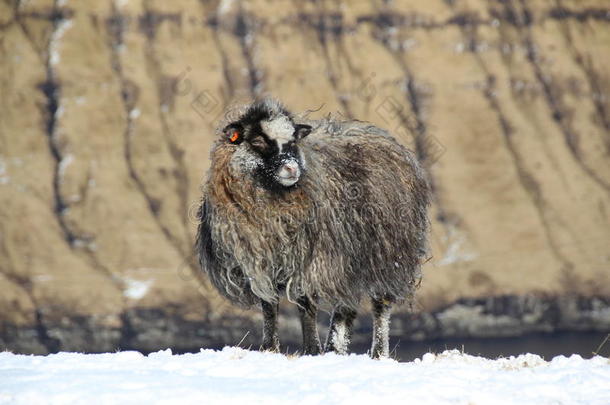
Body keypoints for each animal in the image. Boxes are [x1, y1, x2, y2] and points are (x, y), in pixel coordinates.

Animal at [195, 98, 428, 356]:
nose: (291, 168)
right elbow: (269, 305)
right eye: (257, 141)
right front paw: (270, 348)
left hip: (386, 253)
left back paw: (376, 352)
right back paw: (335, 348)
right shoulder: (260, 262)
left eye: (293, 141)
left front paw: (311, 349)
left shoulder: (310, 260)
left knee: (381, 305)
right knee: (346, 306)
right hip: (350, 260)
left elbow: (306, 304)